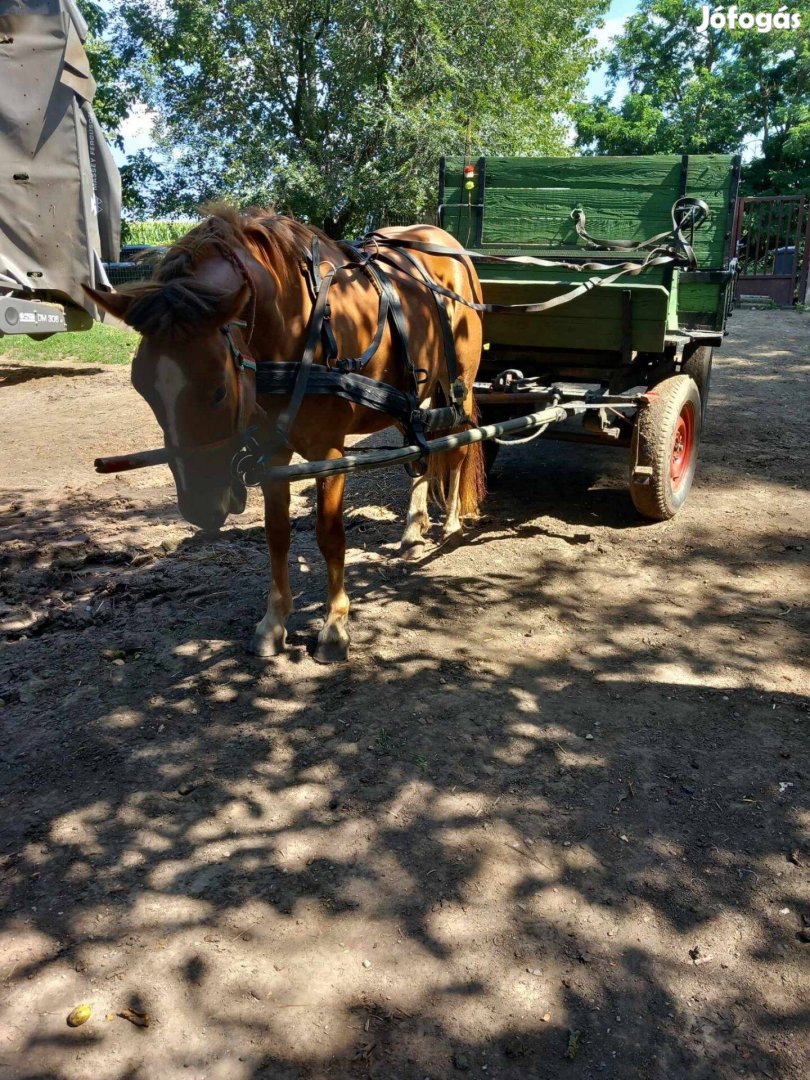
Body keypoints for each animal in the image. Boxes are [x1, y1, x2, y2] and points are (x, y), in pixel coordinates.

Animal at [86, 201, 486, 656]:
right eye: (142, 387)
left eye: (219, 391)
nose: (201, 509)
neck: (299, 327)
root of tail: (446, 243)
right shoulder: (272, 452)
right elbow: (276, 534)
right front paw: (273, 621)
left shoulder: (329, 455)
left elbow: (330, 536)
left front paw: (335, 625)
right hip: (418, 396)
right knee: (422, 451)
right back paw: (414, 529)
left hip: (459, 386)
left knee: (457, 449)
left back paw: (451, 525)